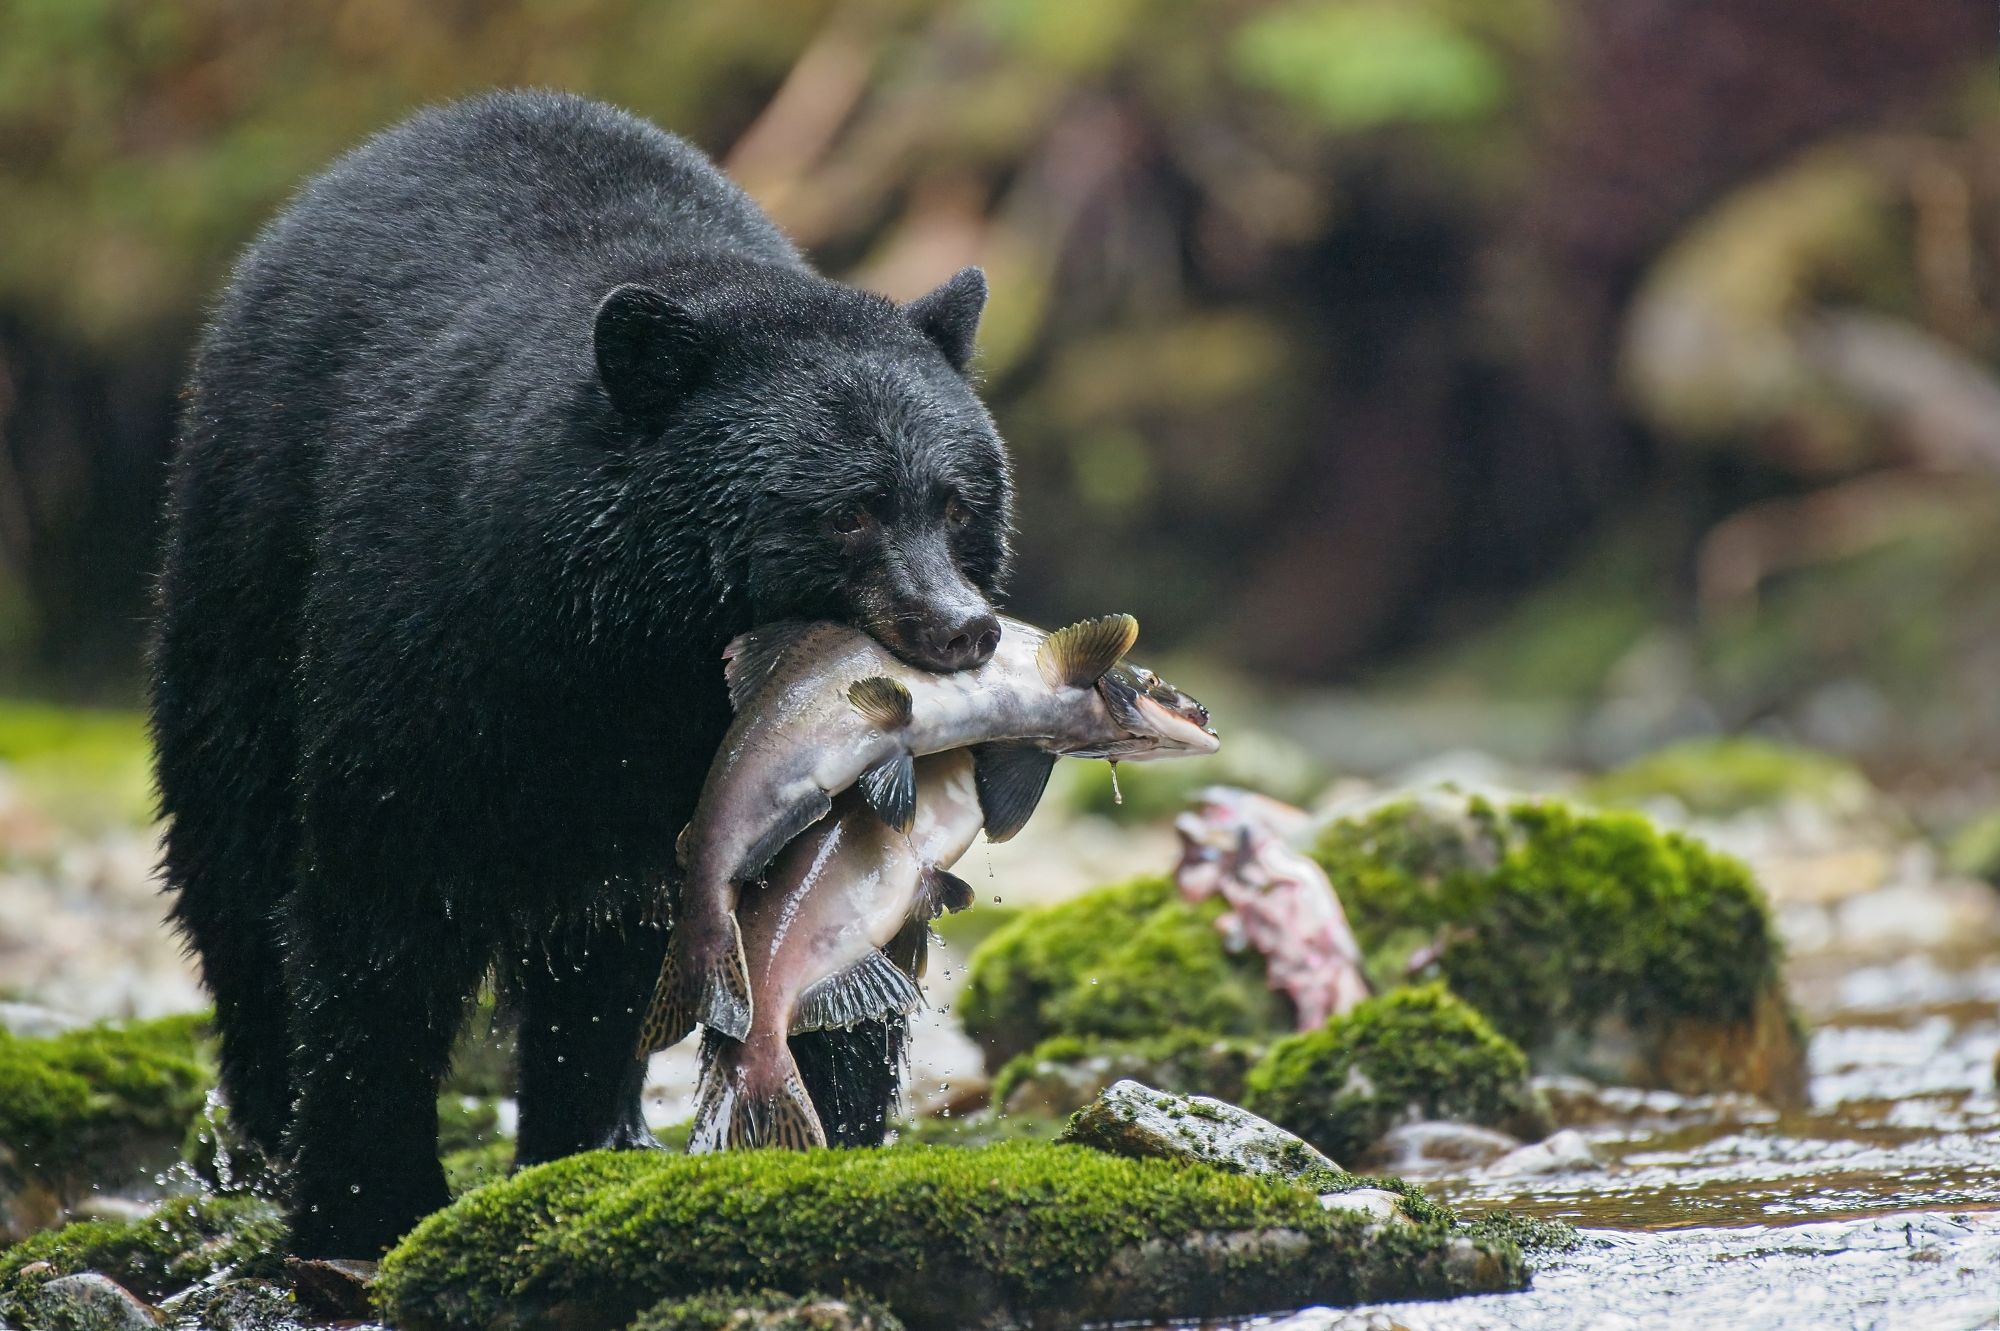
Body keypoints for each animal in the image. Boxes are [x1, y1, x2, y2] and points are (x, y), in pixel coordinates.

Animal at [149, 90, 1012, 1258]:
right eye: (849, 511)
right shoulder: (437, 644)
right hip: (239, 566)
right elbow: (380, 905)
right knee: (234, 851)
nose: (963, 629)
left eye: (956, 502)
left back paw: (592, 1135)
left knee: (602, 958)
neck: (649, 664)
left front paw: (823, 1143)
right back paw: (265, 1119)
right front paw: (367, 1199)